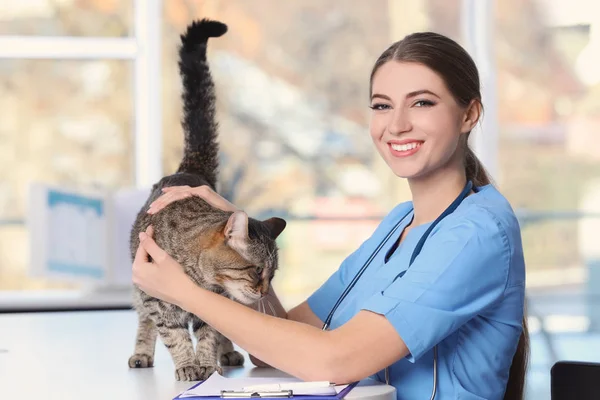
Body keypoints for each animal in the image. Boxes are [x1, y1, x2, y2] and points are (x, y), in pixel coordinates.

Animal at [127, 18, 286, 382]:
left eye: (272, 276)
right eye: (257, 270)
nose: (263, 292)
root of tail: (188, 171)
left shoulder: (216, 304)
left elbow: (209, 333)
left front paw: (207, 364)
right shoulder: (160, 301)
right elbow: (173, 334)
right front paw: (188, 365)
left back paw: (226, 354)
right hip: (141, 290)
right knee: (143, 319)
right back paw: (142, 353)